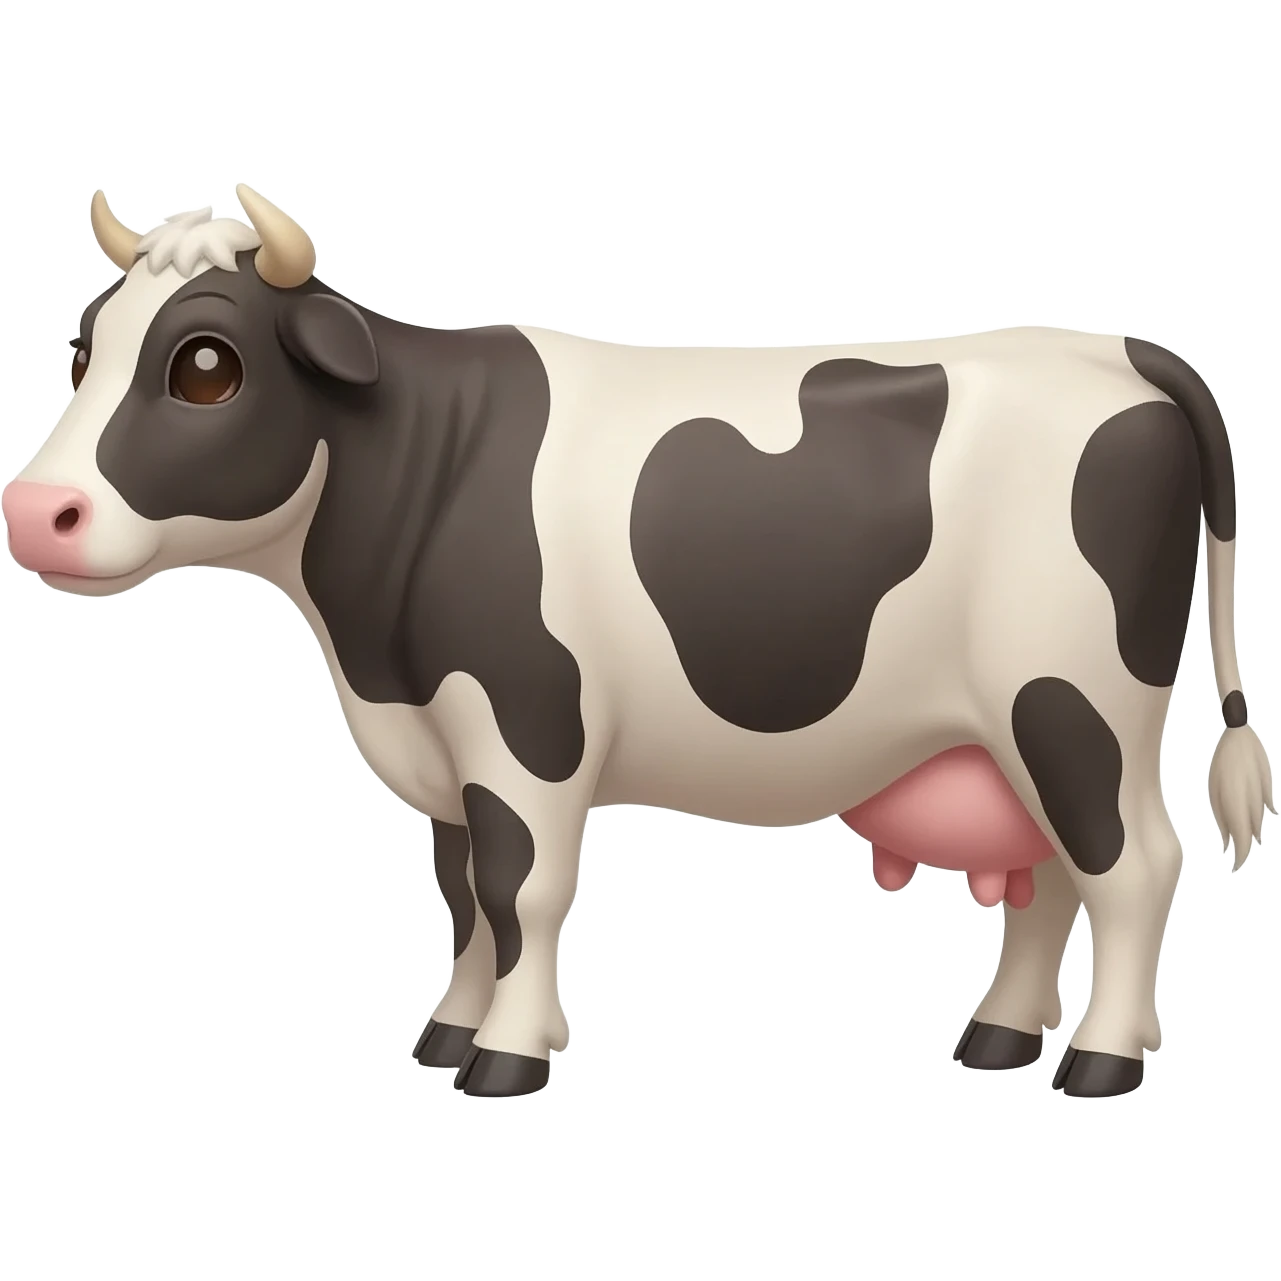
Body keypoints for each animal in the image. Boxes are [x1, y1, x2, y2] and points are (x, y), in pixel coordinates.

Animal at [5, 185, 1275, 1100]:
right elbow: (464, 895)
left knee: (1133, 865)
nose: (34, 510)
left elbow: (519, 887)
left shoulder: (525, 724)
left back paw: (1100, 1060)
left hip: (1074, 700)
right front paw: (451, 1028)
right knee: (1052, 877)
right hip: (1012, 730)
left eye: (205, 367)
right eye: (82, 349)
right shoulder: (445, 738)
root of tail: (1118, 350)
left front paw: (508, 1053)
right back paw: (1001, 1036)